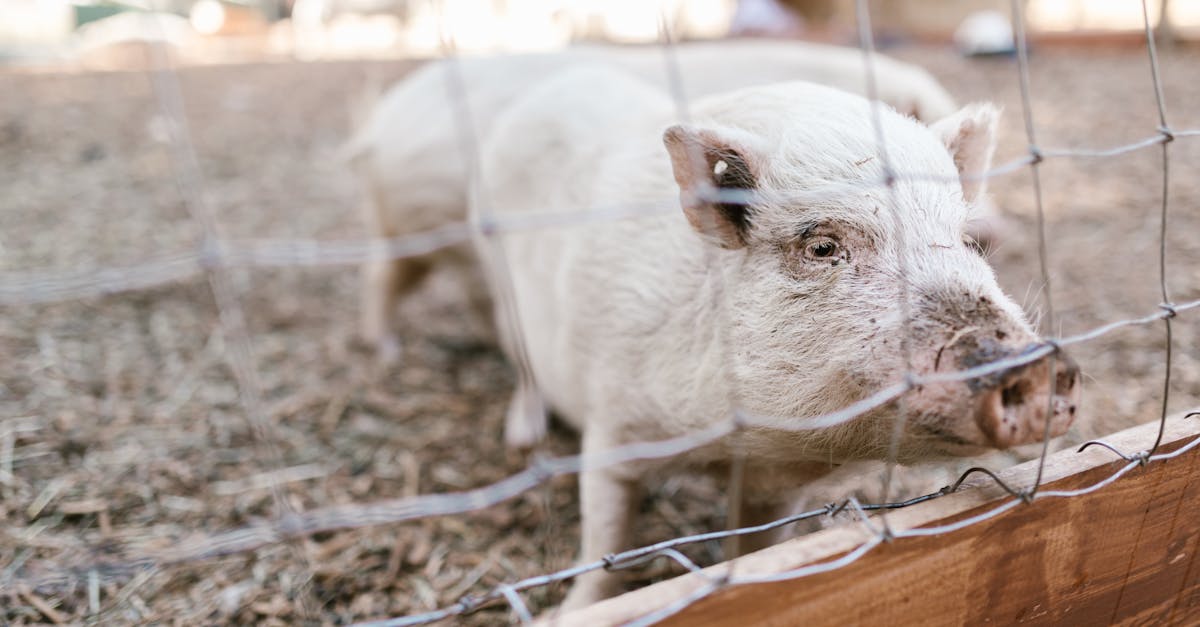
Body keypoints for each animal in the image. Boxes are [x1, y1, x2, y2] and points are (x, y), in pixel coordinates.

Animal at [472, 65, 1084, 607]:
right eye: (821, 247)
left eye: (964, 241)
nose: (1036, 364)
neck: (730, 443)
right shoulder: (612, 425)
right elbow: (606, 542)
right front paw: (571, 611)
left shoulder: (776, 485)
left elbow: (757, 548)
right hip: (501, 288)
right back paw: (523, 436)